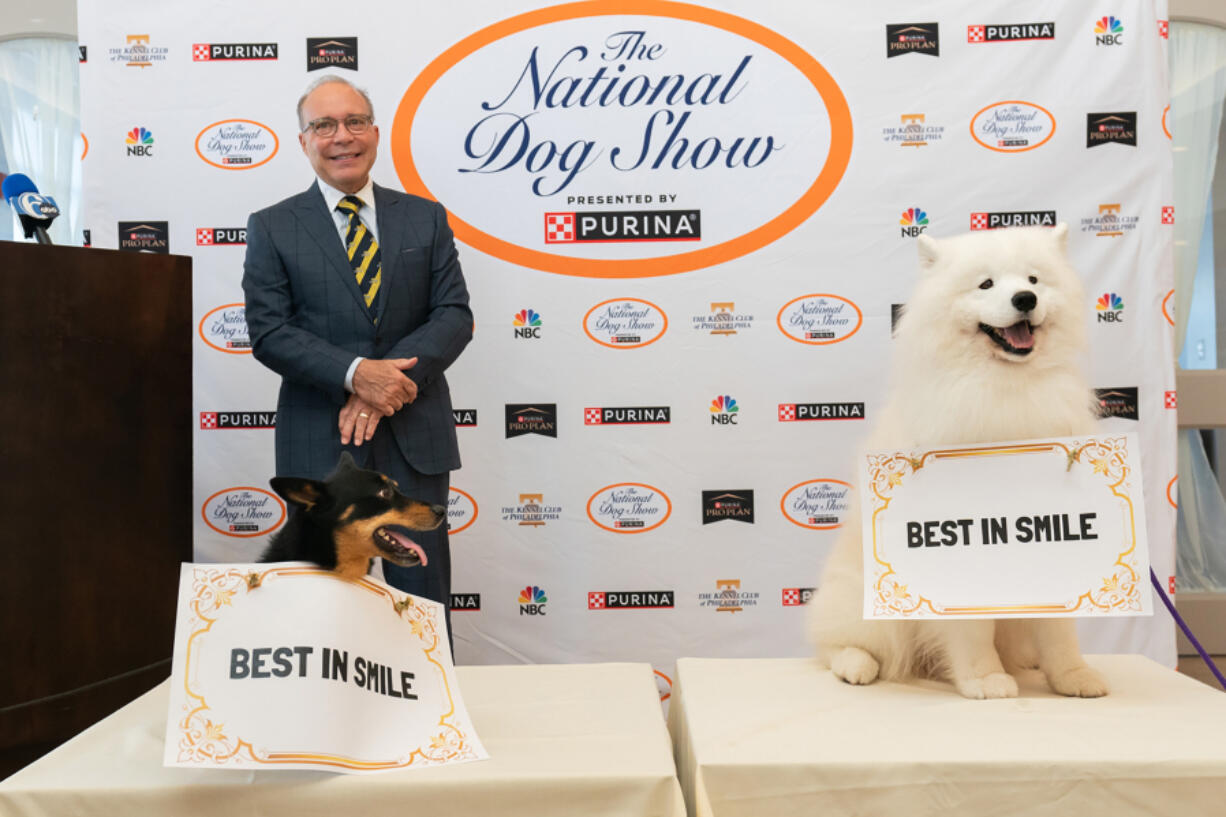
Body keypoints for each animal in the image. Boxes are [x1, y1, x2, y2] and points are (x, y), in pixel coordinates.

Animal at [804, 225, 1113, 696]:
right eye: (985, 284)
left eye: (1034, 279)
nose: (1025, 299)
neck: (1006, 389)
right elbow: (972, 628)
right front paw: (985, 680)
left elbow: (1059, 630)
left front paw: (1072, 676)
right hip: (859, 603)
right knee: (836, 644)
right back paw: (856, 665)